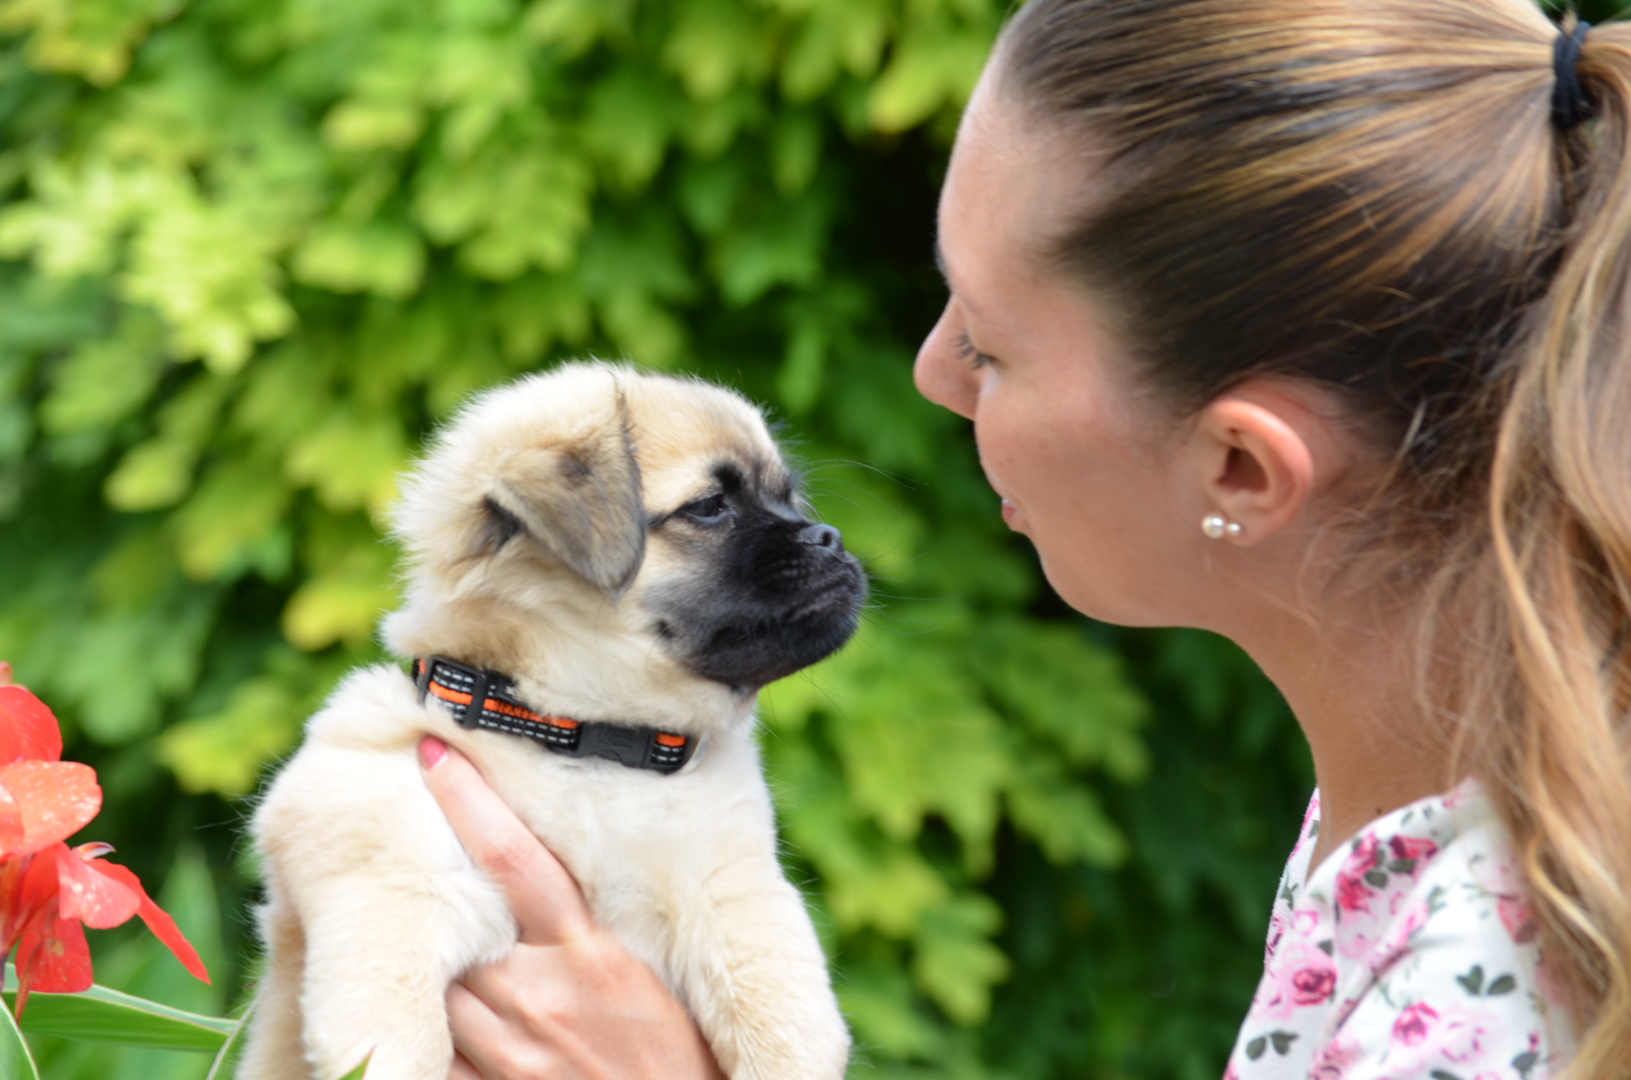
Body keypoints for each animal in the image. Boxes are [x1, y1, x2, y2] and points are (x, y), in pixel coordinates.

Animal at [238, 363, 867, 1080]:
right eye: (710, 506)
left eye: (791, 502)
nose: (829, 537)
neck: (581, 741)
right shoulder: (392, 871)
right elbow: (395, 1033)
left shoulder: (732, 889)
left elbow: (782, 1018)